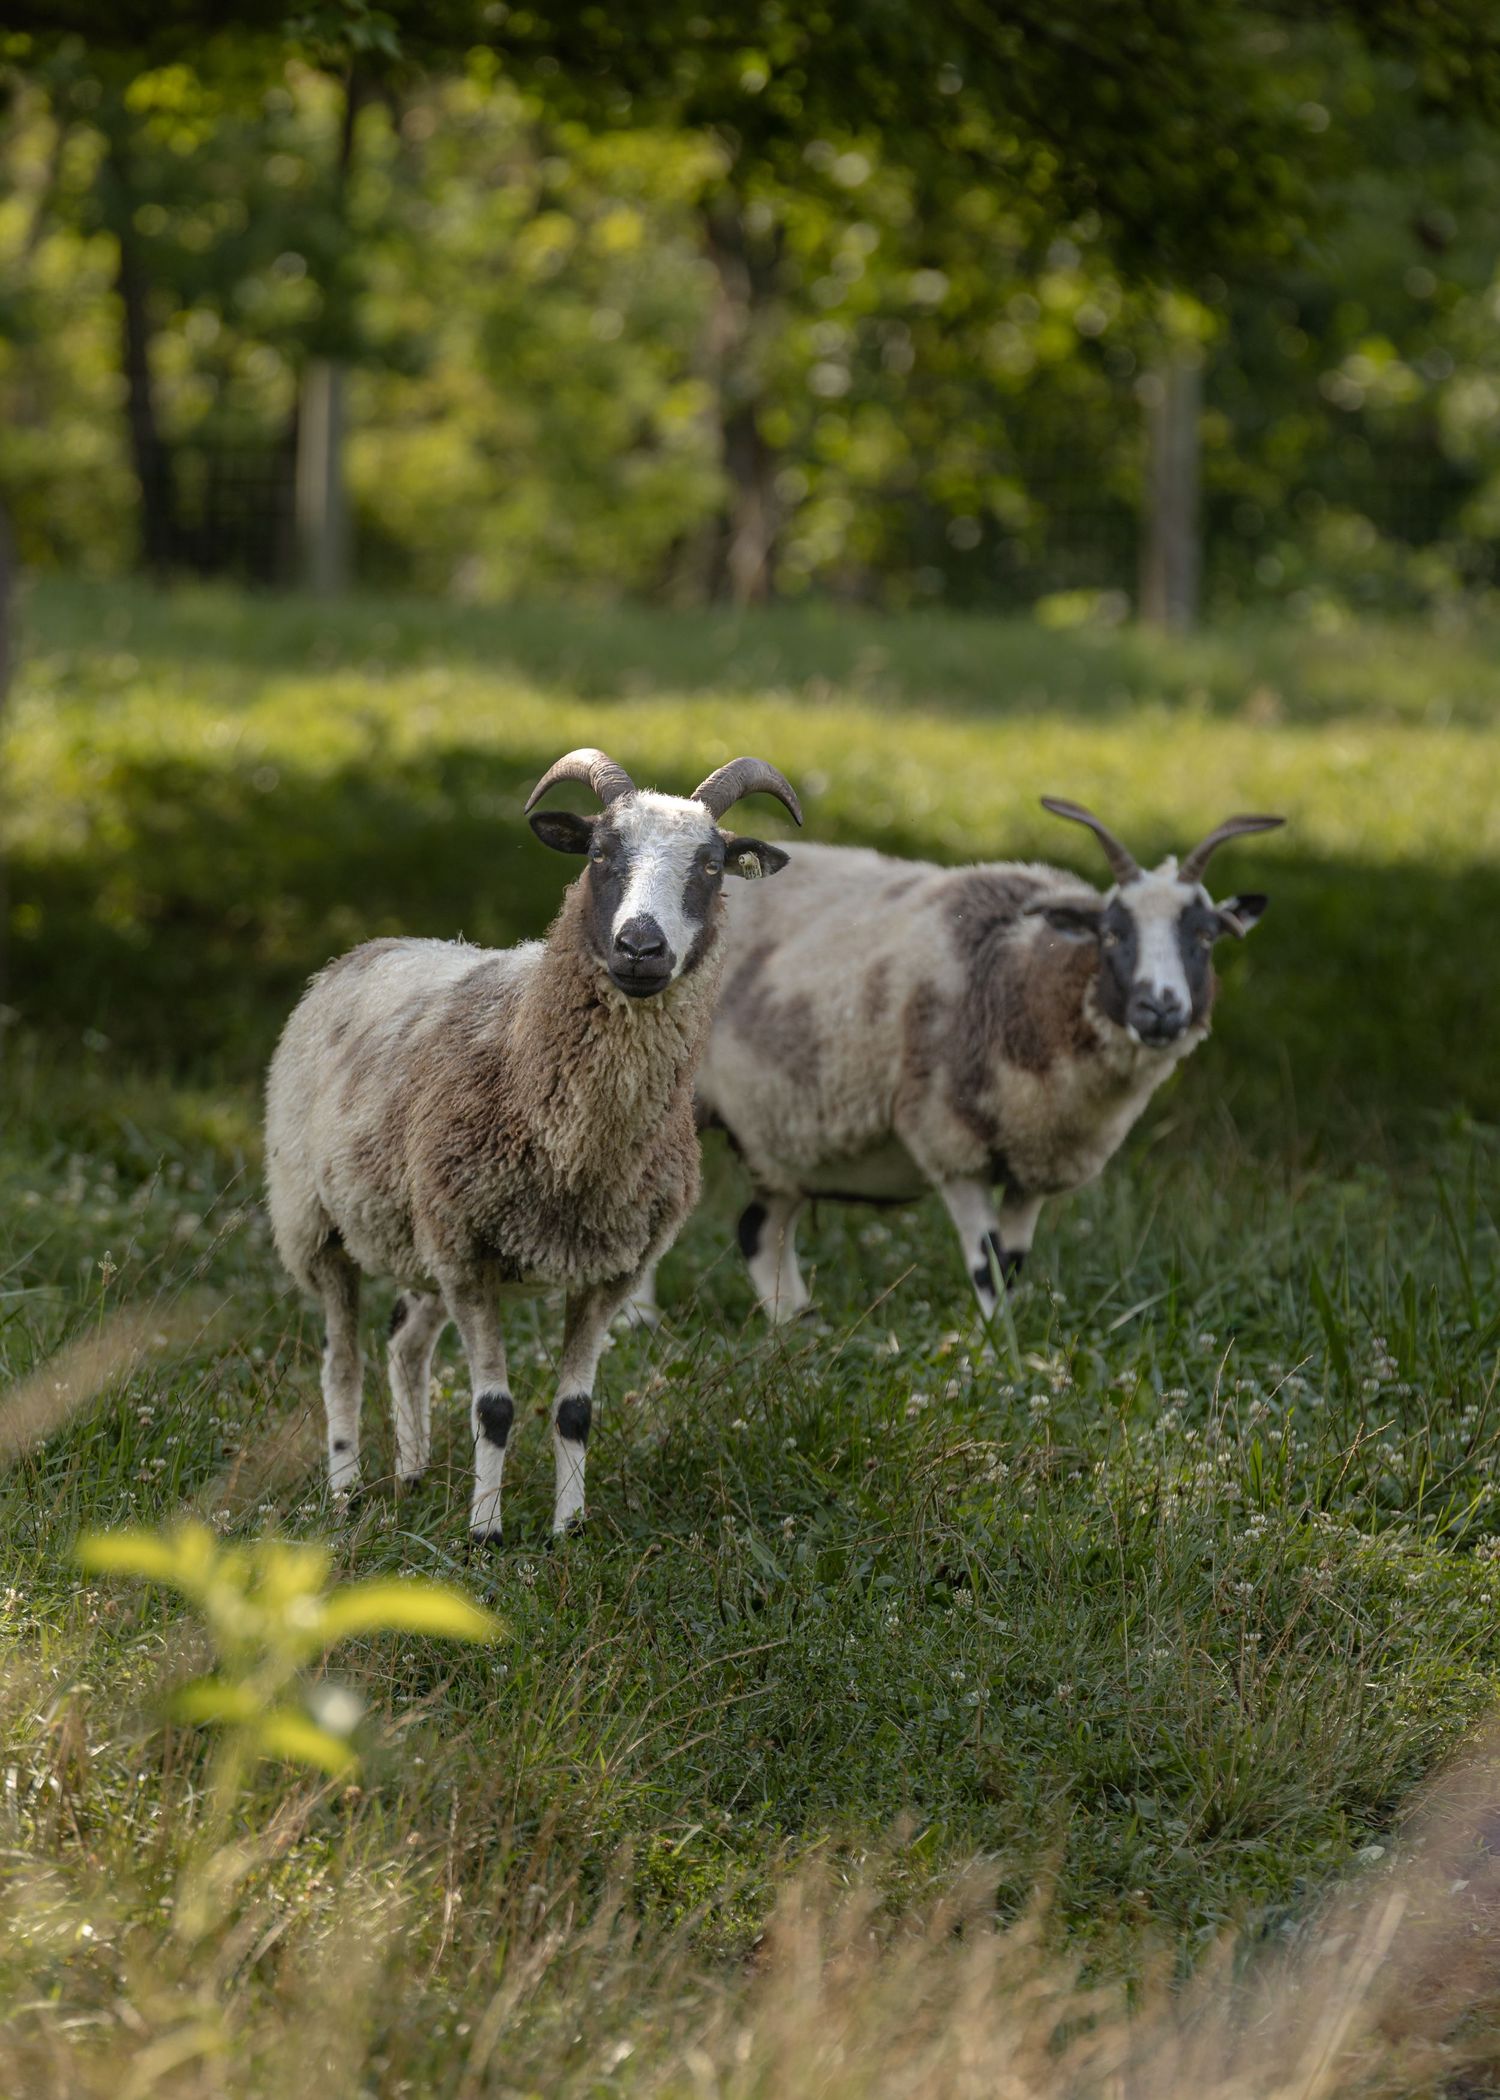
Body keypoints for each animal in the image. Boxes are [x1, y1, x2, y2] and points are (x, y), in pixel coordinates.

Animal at [264, 746, 802, 1544]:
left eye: (710, 866)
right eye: (600, 853)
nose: (640, 947)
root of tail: (368, 948)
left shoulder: (608, 1270)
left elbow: (576, 1410)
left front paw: (567, 1532)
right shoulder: (469, 1256)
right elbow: (493, 1407)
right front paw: (484, 1535)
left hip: (419, 1237)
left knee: (405, 1343)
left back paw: (413, 1473)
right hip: (318, 1223)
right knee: (342, 1363)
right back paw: (346, 1490)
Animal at [623, 797, 1282, 1328]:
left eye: (1205, 938)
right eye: (1113, 934)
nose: (1160, 1009)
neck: (1023, 979)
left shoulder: (1035, 1160)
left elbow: (1013, 1263)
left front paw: (1010, 1343)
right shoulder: (950, 1141)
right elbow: (988, 1262)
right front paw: (996, 1352)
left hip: (777, 1131)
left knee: (760, 1227)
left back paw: (798, 1326)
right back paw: (639, 1321)